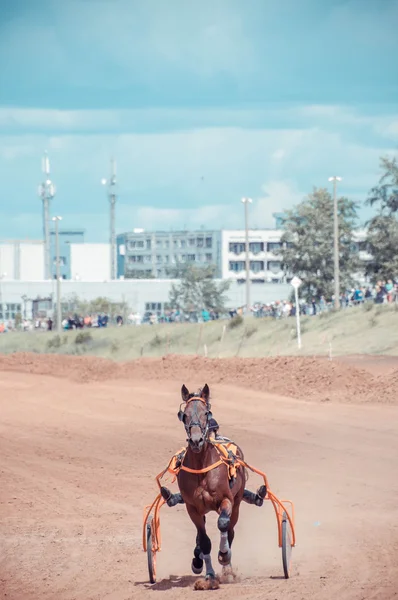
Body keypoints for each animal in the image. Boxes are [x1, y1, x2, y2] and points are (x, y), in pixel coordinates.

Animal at [160, 382, 266, 588]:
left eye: (205, 413)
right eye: (184, 414)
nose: (196, 440)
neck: (202, 468)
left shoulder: (226, 501)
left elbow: (223, 524)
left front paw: (224, 555)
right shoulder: (193, 508)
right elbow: (204, 540)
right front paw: (208, 575)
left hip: (237, 503)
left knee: (230, 530)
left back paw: (227, 565)